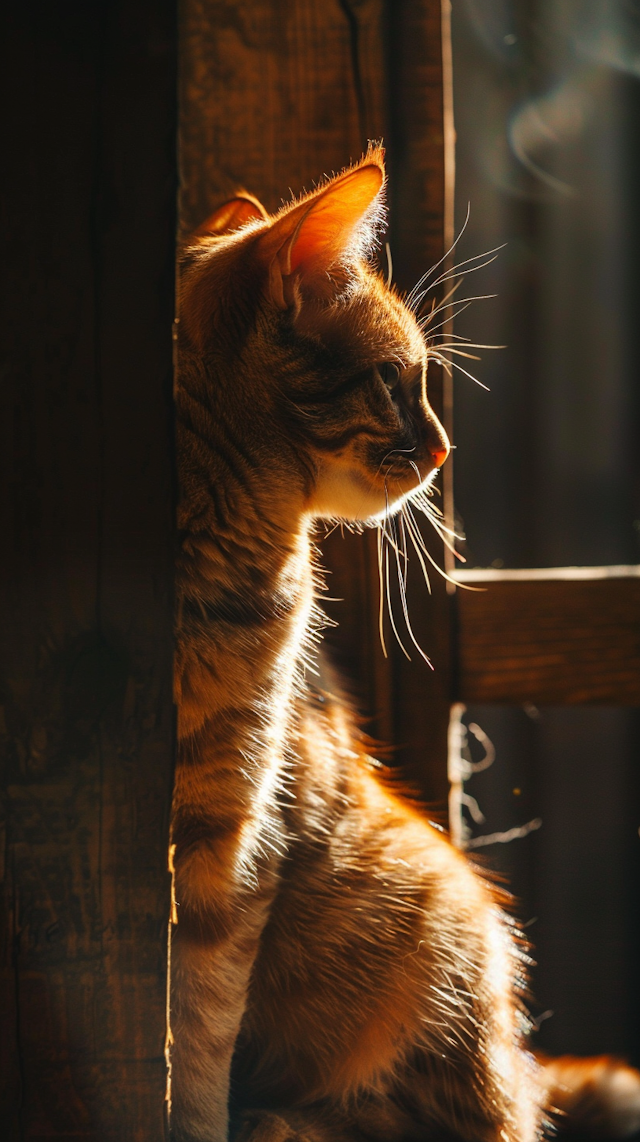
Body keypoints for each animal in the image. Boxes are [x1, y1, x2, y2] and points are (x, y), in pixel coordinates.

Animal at [170, 149, 640, 1142]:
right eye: (394, 379)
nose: (444, 449)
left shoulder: (227, 843)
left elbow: (193, 1038)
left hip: (432, 913)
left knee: (470, 1117)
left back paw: (287, 1121)